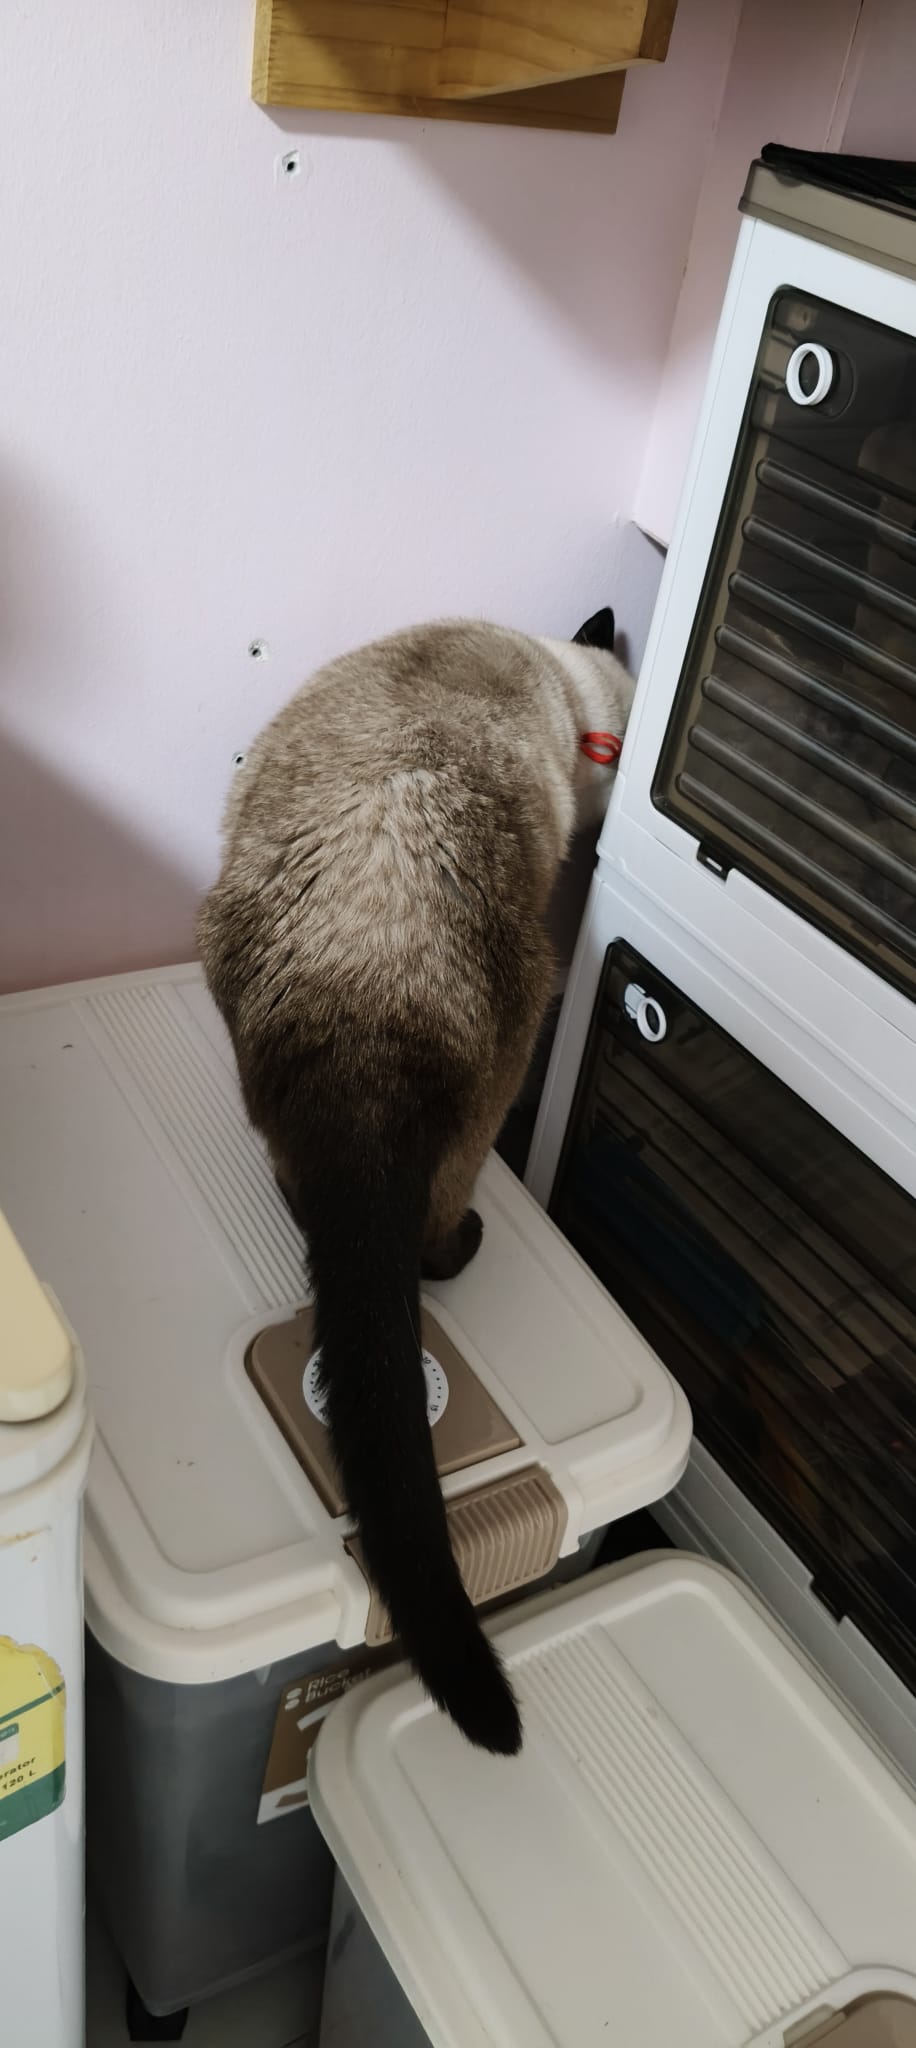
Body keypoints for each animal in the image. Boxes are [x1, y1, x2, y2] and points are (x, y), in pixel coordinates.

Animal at [198, 618, 633, 1754]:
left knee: (301, 1187)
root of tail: (368, 982)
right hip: (512, 1042)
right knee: (434, 1223)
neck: (566, 691)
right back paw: (459, 1244)